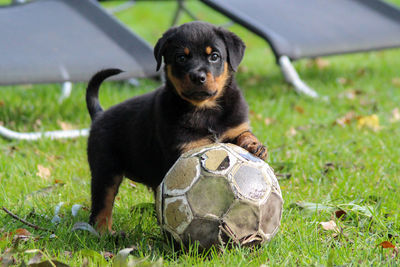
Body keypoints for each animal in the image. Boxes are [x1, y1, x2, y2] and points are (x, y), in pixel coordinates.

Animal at [86, 22, 268, 233]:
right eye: (181, 57)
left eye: (214, 56)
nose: (197, 76)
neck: (205, 110)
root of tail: (99, 115)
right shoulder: (184, 147)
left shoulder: (235, 126)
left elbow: (244, 134)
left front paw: (254, 146)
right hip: (105, 168)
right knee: (102, 205)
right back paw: (105, 232)